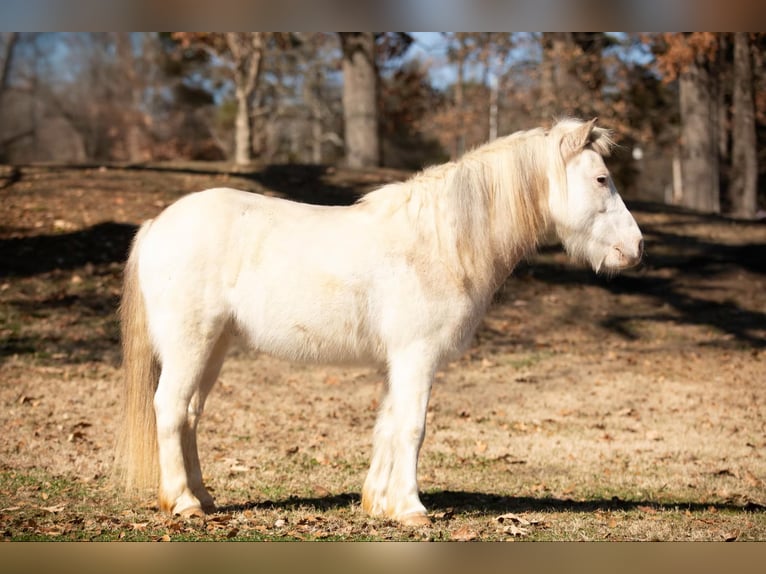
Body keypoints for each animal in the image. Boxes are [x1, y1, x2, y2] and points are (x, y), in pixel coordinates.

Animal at [114, 119, 640, 528]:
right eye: (600, 179)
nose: (635, 248)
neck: (440, 242)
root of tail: (156, 226)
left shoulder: (397, 363)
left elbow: (387, 425)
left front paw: (380, 504)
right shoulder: (416, 357)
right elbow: (412, 427)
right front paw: (410, 508)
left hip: (215, 348)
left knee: (190, 415)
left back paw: (203, 498)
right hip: (191, 346)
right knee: (169, 409)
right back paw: (183, 503)